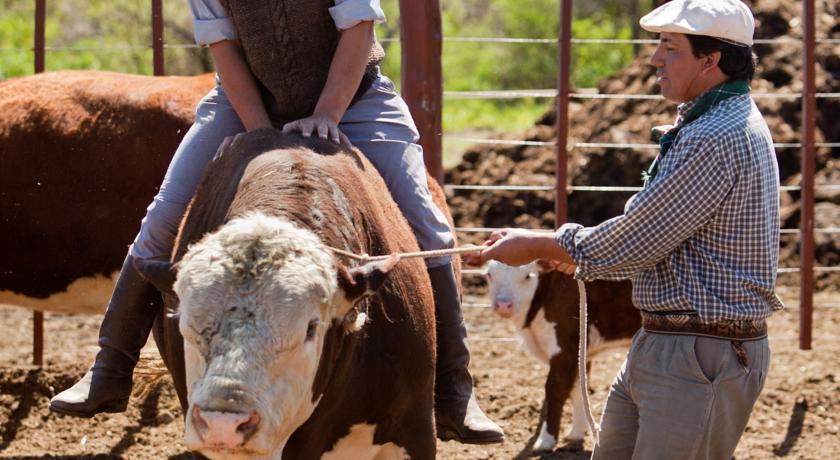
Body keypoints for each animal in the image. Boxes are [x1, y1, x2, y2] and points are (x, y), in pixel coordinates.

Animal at [486, 260, 636, 452]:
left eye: (528, 276)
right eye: (490, 274)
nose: (503, 305)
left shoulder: (564, 347)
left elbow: (555, 390)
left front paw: (546, 440)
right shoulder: (581, 351)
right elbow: (578, 389)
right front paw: (575, 434)